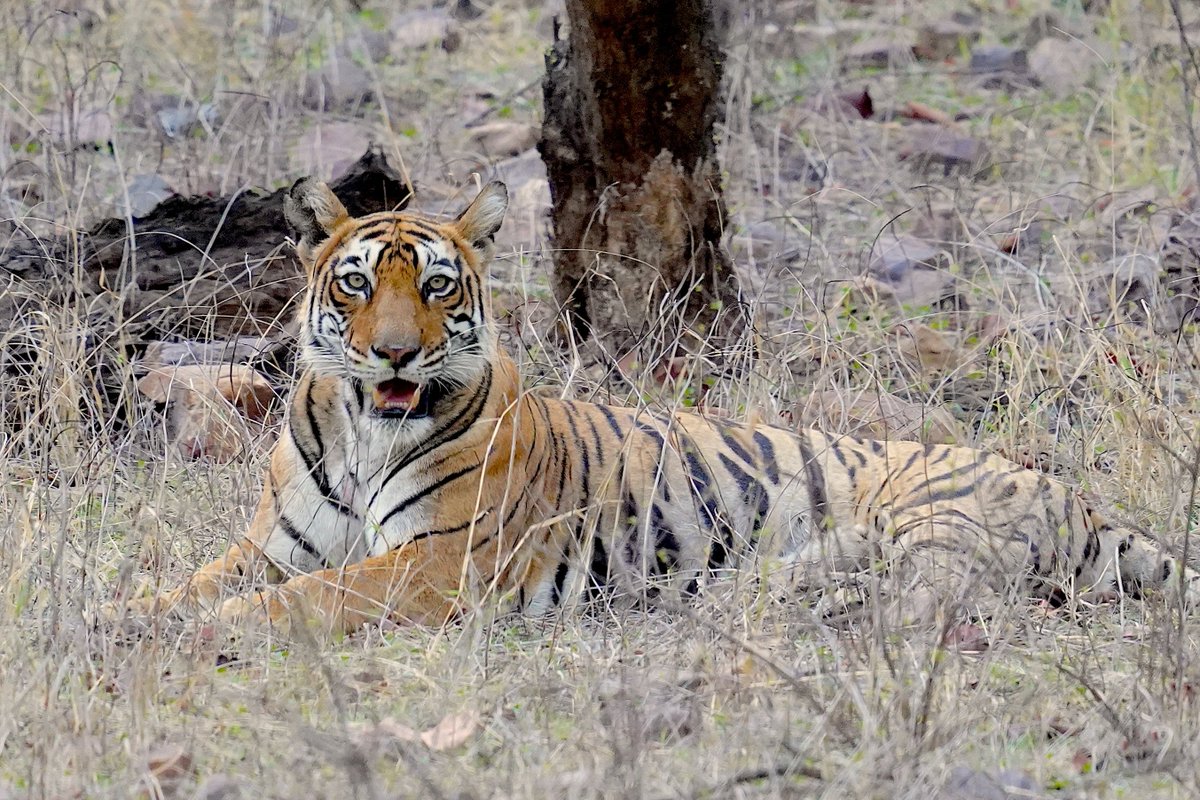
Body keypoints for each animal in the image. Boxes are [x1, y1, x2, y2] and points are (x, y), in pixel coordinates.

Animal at [106, 178, 1200, 637]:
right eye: (357, 283)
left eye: (440, 288)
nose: (396, 352)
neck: (364, 432)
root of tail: (1069, 492)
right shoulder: (275, 543)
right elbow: (196, 581)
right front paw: (122, 612)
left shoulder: (435, 562)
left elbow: (305, 600)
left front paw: (202, 632)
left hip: (932, 517)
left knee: (943, 600)